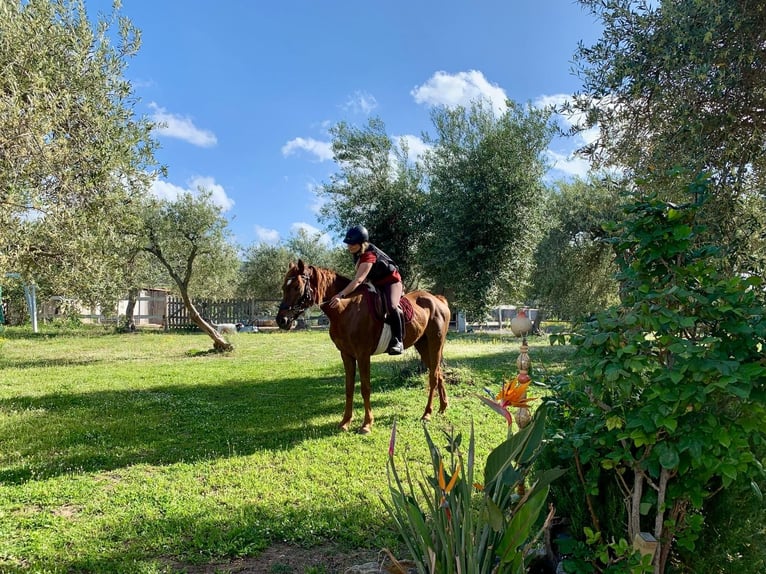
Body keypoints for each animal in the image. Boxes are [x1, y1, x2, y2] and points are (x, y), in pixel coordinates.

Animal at [275, 259, 450, 434]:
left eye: (297, 287)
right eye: (284, 287)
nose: (281, 320)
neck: (345, 308)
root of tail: (437, 300)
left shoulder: (363, 355)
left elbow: (365, 388)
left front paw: (366, 424)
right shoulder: (346, 355)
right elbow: (349, 388)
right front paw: (345, 422)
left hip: (435, 343)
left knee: (433, 377)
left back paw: (427, 414)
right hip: (422, 344)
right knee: (438, 373)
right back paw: (443, 408)